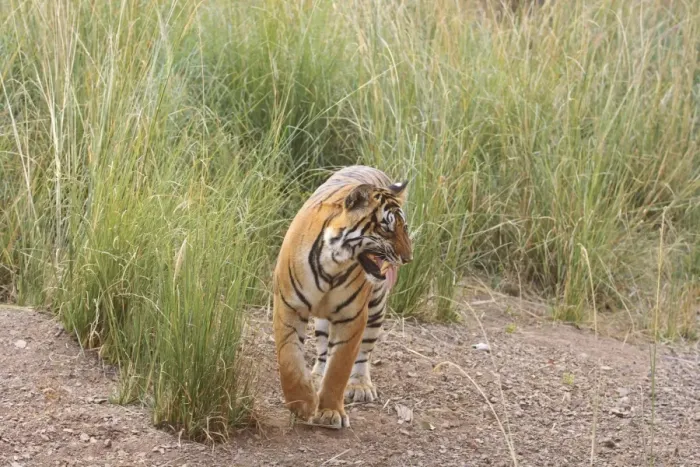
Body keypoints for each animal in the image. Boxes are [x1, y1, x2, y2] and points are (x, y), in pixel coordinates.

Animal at [272, 165, 413, 429]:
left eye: (404, 228)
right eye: (386, 228)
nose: (408, 258)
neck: (332, 264)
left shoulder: (353, 316)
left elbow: (340, 367)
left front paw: (329, 412)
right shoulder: (288, 306)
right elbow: (289, 360)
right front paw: (302, 404)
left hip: (376, 307)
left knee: (364, 352)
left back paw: (359, 385)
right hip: (322, 321)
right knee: (322, 350)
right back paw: (316, 376)